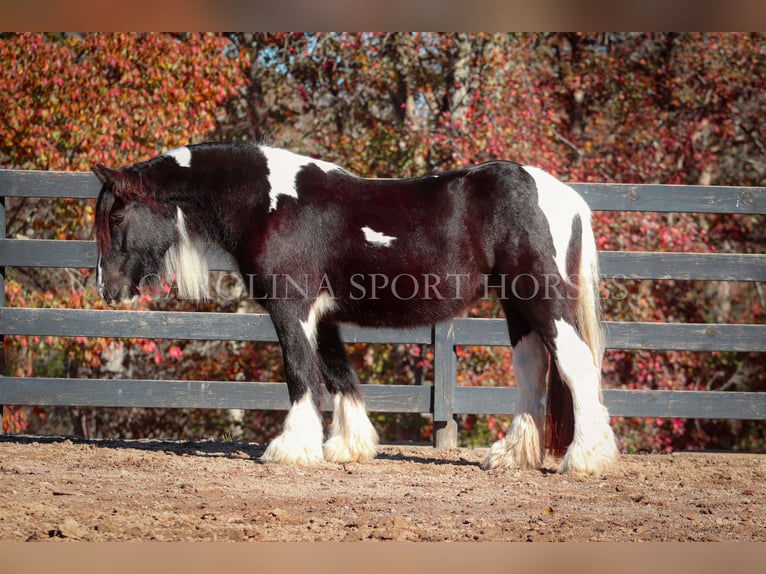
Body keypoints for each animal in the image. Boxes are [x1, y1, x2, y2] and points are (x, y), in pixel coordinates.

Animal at [91, 142, 616, 474]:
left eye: (117, 215)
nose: (107, 290)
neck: (270, 203)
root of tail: (567, 197)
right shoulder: (322, 317)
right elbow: (338, 373)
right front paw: (347, 446)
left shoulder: (291, 308)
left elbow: (301, 373)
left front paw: (291, 448)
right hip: (517, 304)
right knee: (531, 369)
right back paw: (510, 456)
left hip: (539, 296)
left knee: (576, 364)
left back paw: (585, 458)